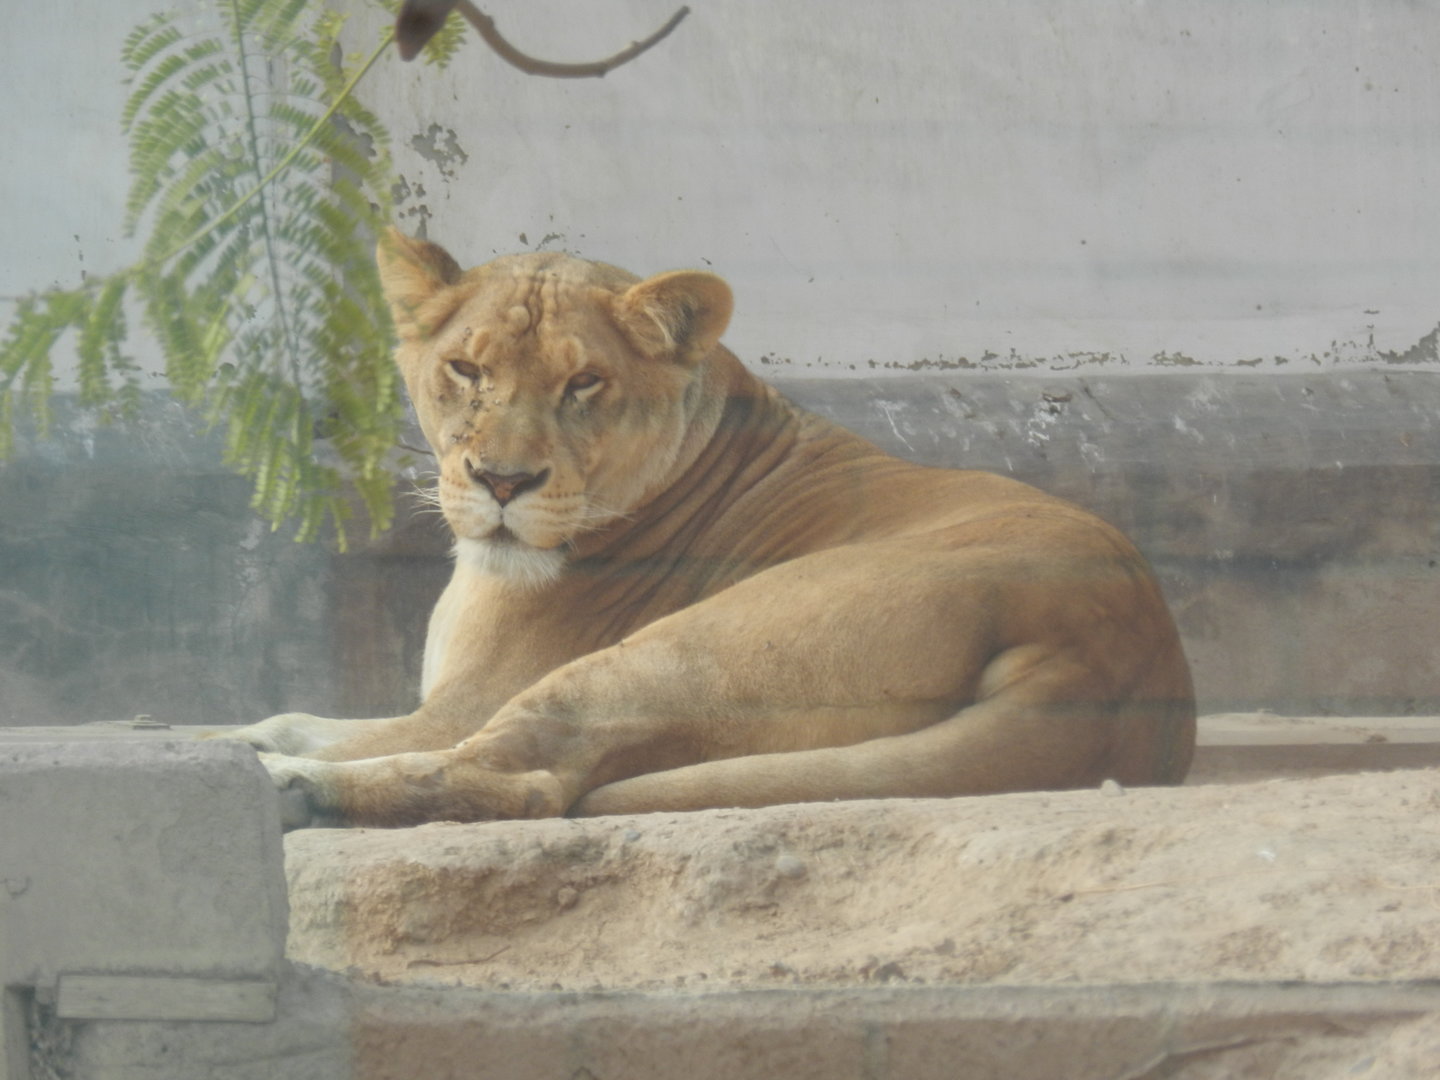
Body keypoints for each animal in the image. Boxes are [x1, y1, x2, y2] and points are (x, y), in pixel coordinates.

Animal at [225, 228, 1195, 828]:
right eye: (465, 369)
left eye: (584, 384)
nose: (502, 480)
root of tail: (1114, 653)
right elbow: (293, 715)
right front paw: (233, 738)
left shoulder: (461, 703)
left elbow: (356, 734)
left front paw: (252, 754)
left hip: (684, 648)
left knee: (522, 776)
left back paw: (294, 796)